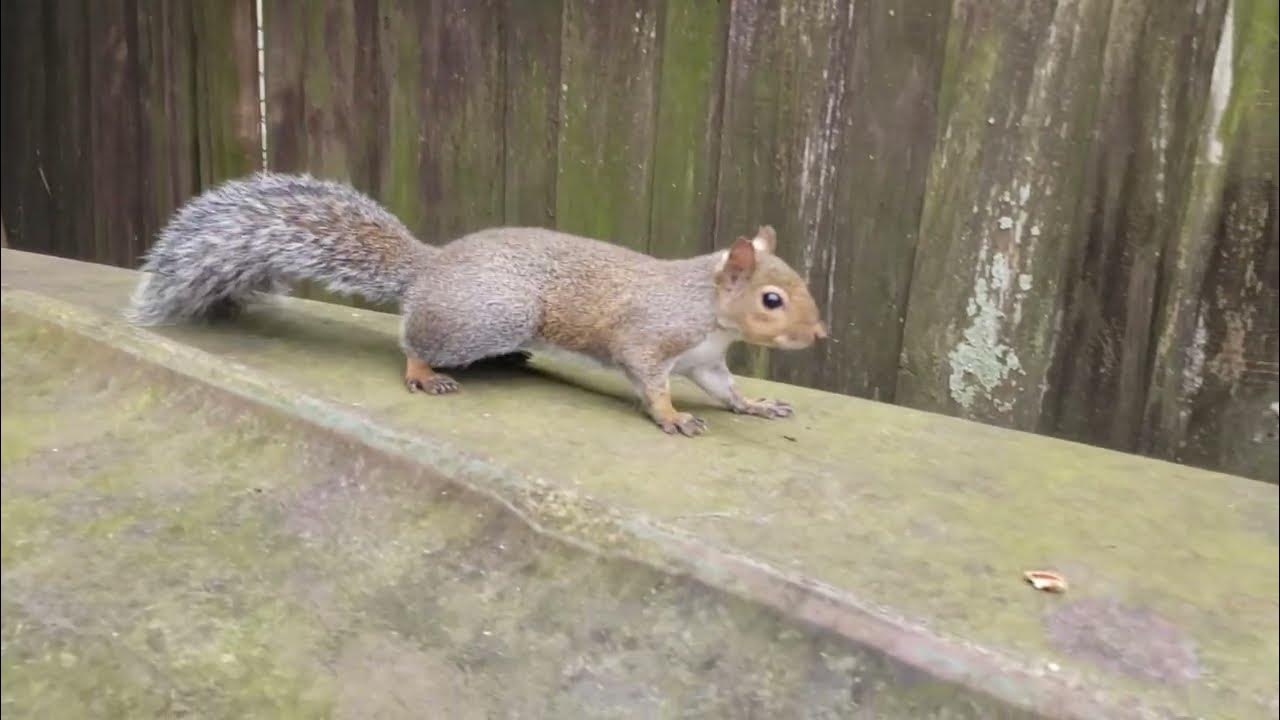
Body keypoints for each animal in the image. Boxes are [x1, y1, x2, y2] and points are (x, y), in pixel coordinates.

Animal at [128, 172, 827, 436]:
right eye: (771, 299)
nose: (819, 335)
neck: (707, 308)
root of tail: (430, 266)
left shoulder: (706, 359)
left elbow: (726, 389)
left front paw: (757, 405)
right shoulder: (650, 337)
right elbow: (648, 380)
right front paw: (673, 416)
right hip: (487, 316)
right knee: (413, 340)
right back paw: (425, 373)